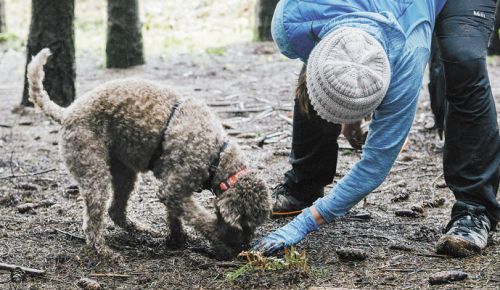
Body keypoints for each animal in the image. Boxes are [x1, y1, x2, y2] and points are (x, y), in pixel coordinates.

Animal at [26, 48, 272, 260]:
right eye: (245, 224)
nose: (247, 246)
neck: (217, 156)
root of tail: (67, 112)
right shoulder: (173, 190)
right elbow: (202, 220)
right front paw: (220, 243)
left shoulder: (173, 190)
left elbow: (175, 216)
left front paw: (176, 240)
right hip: (93, 169)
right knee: (94, 220)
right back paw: (104, 251)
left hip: (124, 173)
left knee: (116, 211)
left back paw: (141, 229)